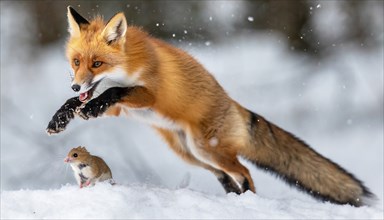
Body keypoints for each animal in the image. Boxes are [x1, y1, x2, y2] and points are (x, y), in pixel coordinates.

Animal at [46, 6, 374, 206]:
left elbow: (116, 90)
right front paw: (60, 118)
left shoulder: (149, 94)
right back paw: (233, 199)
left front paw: (88, 106)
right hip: (192, 154)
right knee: (227, 176)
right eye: (76, 62)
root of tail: (232, 103)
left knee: (244, 171)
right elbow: (81, 102)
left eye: (97, 64)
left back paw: (247, 202)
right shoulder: (119, 108)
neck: (131, 65)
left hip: (207, 149)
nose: (76, 84)